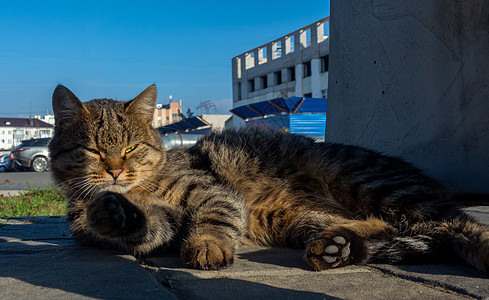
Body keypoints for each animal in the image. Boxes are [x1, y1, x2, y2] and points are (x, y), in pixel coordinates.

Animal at [48, 85, 488, 274]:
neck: (142, 187)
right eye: (93, 151)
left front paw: (208, 246)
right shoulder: (163, 223)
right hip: (304, 218)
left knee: (457, 224)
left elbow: (215, 220)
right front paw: (112, 214)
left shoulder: (212, 192)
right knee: (388, 228)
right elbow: (145, 225)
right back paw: (338, 247)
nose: (114, 170)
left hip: (372, 183)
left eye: (131, 148)